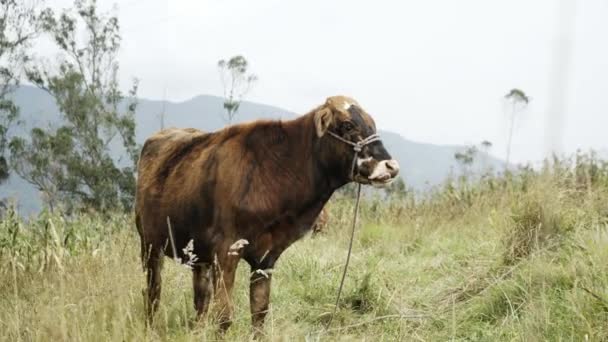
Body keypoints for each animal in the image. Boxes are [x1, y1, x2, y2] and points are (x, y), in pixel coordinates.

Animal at [134, 95, 400, 336]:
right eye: (347, 125)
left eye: (372, 124)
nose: (391, 166)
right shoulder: (226, 251)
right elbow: (224, 316)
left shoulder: (266, 259)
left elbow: (259, 312)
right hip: (149, 244)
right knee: (153, 293)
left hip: (198, 255)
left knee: (200, 301)